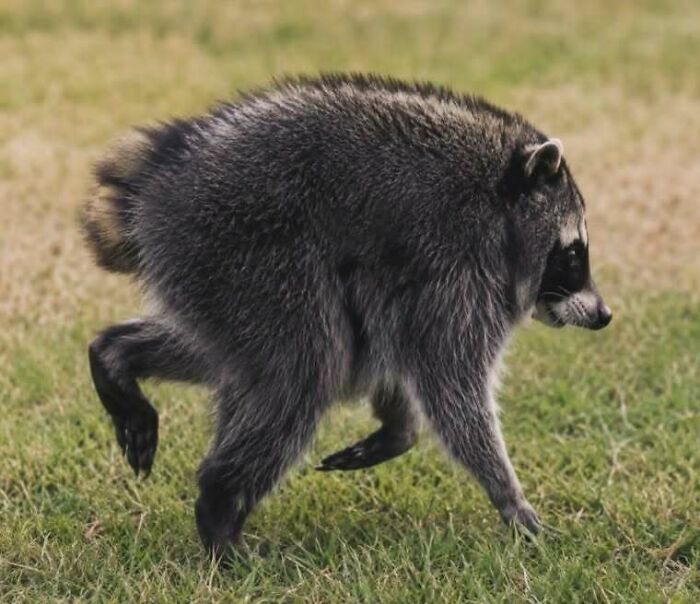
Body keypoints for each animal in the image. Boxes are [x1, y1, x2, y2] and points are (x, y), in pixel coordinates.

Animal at [82, 74, 611, 558]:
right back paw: (220, 504)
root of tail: (160, 173)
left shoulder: (417, 282)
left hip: (217, 276)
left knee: (241, 356)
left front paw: (400, 428)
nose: (605, 314)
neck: (500, 200)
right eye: (572, 254)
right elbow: (450, 383)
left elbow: (397, 352)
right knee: (305, 366)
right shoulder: (457, 268)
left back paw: (116, 355)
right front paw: (510, 498)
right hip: (244, 250)